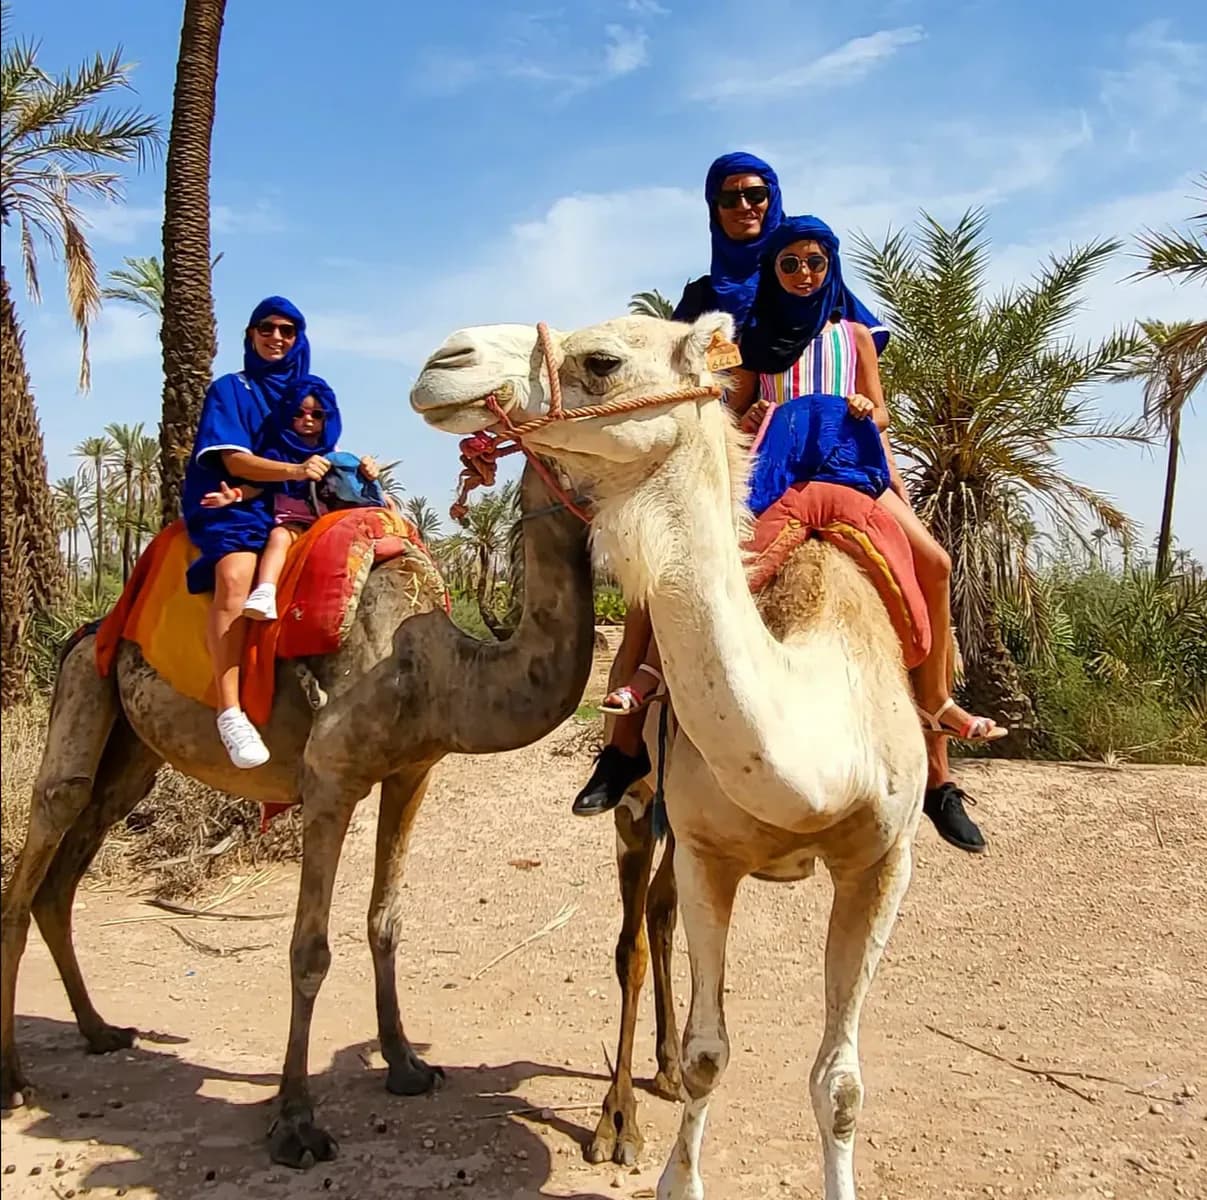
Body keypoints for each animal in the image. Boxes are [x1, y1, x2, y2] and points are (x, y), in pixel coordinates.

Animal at [0, 464, 596, 1169]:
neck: (430, 671)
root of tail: (87, 629)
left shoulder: (413, 772)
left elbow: (386, 922)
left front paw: (406, 1066)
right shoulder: (329, 782)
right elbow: (309, 951)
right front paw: (296, 1123)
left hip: (133, 755)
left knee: (68, 871)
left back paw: (100, 1031)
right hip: (82, 688)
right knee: (48, 826)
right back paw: (12, 1079)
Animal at [411, 312, 927, 1200]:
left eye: (601, 360)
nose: (444, 360)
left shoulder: (881, 859)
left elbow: (839, 1085)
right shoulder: (710, 851)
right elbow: (710, 1054)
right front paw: (667, 1160)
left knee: (654, 913)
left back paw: (654, 1071)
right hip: (635, 805)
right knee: (631, 938)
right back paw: (618, 1118)